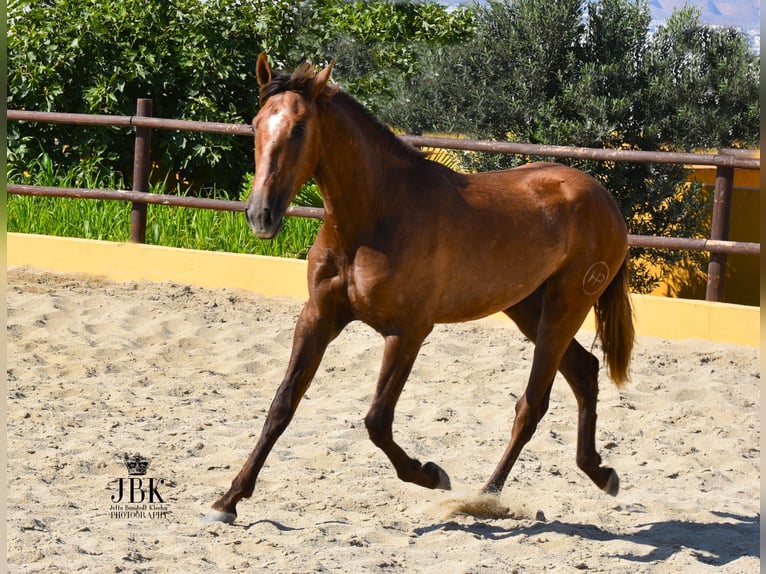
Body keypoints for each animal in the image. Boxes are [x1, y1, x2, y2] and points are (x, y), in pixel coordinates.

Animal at [204, 55, 636, 528]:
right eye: (256, 123)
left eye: (300, 128)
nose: (260, 215)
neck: (374, 217)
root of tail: (605, 199)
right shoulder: (318, 317)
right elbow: (282, 406)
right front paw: (227, 500)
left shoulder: (408, 331)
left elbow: (377, 420)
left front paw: (431, 474)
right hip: (528, 307)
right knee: (584, 371)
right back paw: (601, 474)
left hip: (565, 305)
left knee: (531, 405)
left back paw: (485, 498)